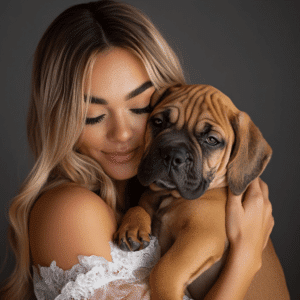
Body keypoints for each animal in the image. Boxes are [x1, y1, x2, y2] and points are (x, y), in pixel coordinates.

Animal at [113, 84, 290, 300]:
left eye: (211, 140)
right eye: (158, 122)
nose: (173, 154)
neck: (168, 197)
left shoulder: (203, 235)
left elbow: (165, 269)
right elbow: (138, 207)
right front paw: (132, 226)